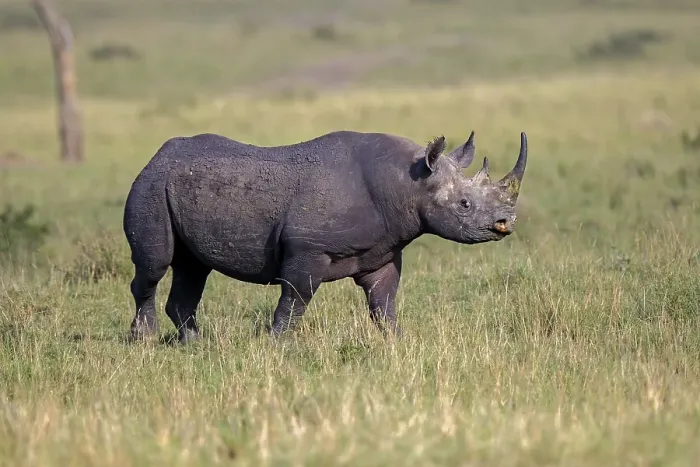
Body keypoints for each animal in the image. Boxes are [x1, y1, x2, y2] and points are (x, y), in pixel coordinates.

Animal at [123, 129, 528, 343]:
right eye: (464, 204)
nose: (505, 222)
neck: (408, 184)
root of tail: (155, 156)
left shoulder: (382, 251)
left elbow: (384, 303)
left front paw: (398, 343)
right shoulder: (307, 248)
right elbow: (295, 299)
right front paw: (277, 346)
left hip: (174, 186)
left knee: (193, 268)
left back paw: (195, 344)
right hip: (151, 186)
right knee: (154, 265)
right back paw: (145, 340)